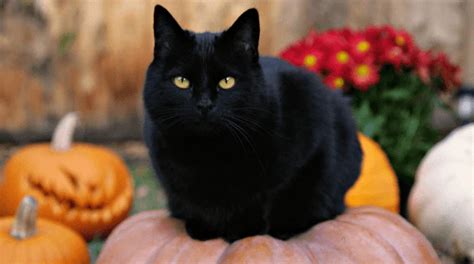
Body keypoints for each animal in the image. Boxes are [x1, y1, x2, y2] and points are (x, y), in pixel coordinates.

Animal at [143, 5, 362, 242]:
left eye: (227, 81)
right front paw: (204, 228)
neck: (208, 154)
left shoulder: (309, 135)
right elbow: (192, 201)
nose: (204, 104)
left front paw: (245, 231)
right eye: (181, 81)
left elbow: (270, 195)